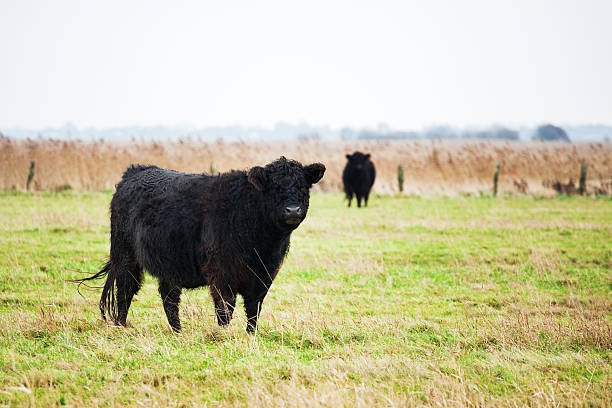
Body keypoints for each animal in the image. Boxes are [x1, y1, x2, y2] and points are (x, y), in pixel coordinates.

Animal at [74, 156, 326, 332]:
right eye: (275, 188)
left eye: (303, 187)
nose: (292, 210)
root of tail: (137, 170)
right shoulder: (221, 273)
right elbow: (225, 308)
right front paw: (224, 335)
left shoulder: (264, 275)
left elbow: (254, 308)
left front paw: (250, 334)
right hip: (125, 255)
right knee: (125, 290)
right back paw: (121, 326)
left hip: (169, 263)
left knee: (168, 297)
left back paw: (177, 331)